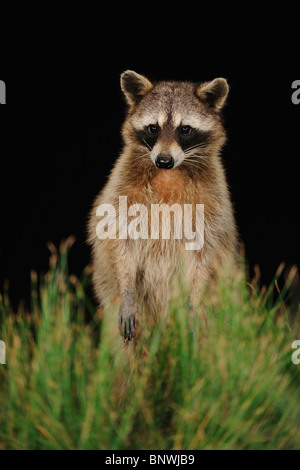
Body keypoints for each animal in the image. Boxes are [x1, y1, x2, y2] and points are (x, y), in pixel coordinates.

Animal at [87, 70, 239, 342]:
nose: (164, 160)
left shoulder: (214, 199)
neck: (170, 174)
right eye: (153, 128)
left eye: (185, 129)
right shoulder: (121, 186)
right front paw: (127, 289)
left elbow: (206, 252)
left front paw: (194, 298)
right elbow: (116, 238)